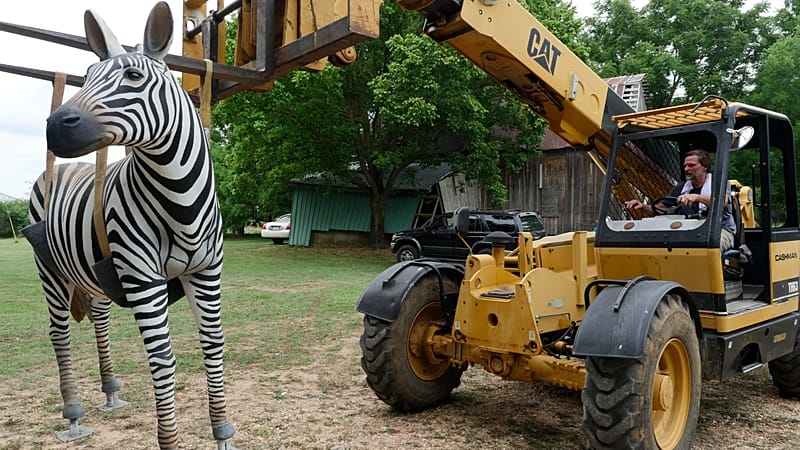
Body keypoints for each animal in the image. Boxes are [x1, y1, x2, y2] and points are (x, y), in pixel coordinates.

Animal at [24, 2, 235, 449]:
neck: (179, 200)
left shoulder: (207, 271)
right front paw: (169, 439)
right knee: (58, 333)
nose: (53, 126)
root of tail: (61, 168)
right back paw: (74, 414)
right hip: (50, 269)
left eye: (134, 78)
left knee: (99, 318)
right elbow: (162, 359)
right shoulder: (141, 278)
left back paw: (111, 392)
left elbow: (213, 345)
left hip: (93, 275)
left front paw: (223, 433)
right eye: (86, 76)